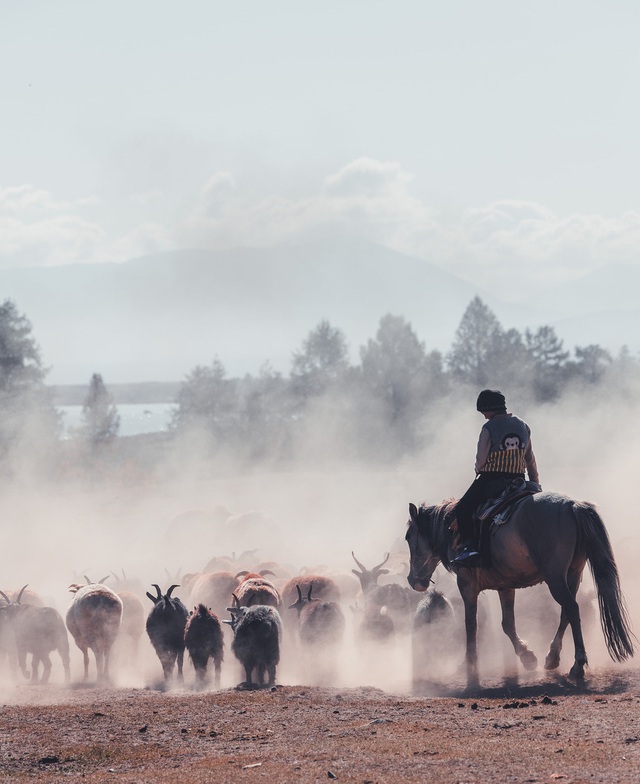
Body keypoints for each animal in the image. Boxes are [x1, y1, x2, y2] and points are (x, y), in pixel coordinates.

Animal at [404, 494, 636, 688]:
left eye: (408, 537)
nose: (413, 580)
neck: (454, 531)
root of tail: (572, 505)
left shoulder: (467, 586)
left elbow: (471, 625)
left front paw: (469, 667)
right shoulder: (505, 586)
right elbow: (507, 624)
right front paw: (527, 657)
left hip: (555, 578)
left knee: (571, 608)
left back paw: (577, 665)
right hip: (573, 574)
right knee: (567, 613)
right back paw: (552, 658)